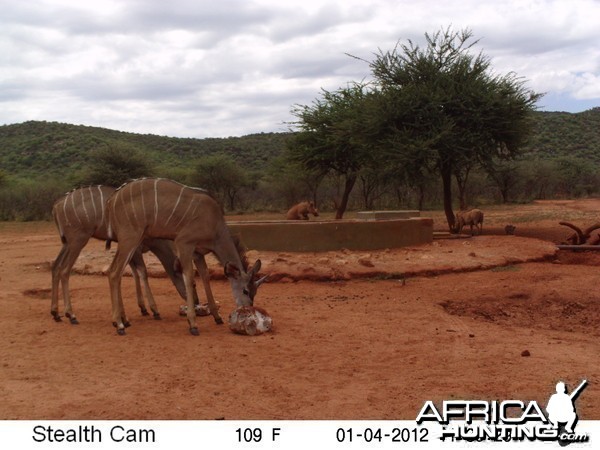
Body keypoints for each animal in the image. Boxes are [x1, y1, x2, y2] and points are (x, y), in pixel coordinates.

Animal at [52, 185, 211, 324]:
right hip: (78, 240)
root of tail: (57, 205)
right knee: (64, 270)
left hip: (67, 243)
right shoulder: (136, 248)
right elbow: (142, 272)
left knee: (56, 266)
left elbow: (132, 274)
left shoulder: (131, 250)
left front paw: (140, 309)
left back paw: (56, 314)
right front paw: (153, 310)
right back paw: (71, 315)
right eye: (194, 284)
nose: (197, 302)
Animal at [106, 178, 266, 334]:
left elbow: (205, 276)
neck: (214, 224)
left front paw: (217, 317)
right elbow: (189, 276)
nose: (246, 309)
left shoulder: (198, 253)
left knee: (115, 271)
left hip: (131, 242)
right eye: (245, 290)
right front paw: (193, 324)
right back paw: (119, 325)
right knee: (114, 272)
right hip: (130, 238)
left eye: (255, 292)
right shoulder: (184, 243)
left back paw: (123, 320)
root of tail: (112, 199)